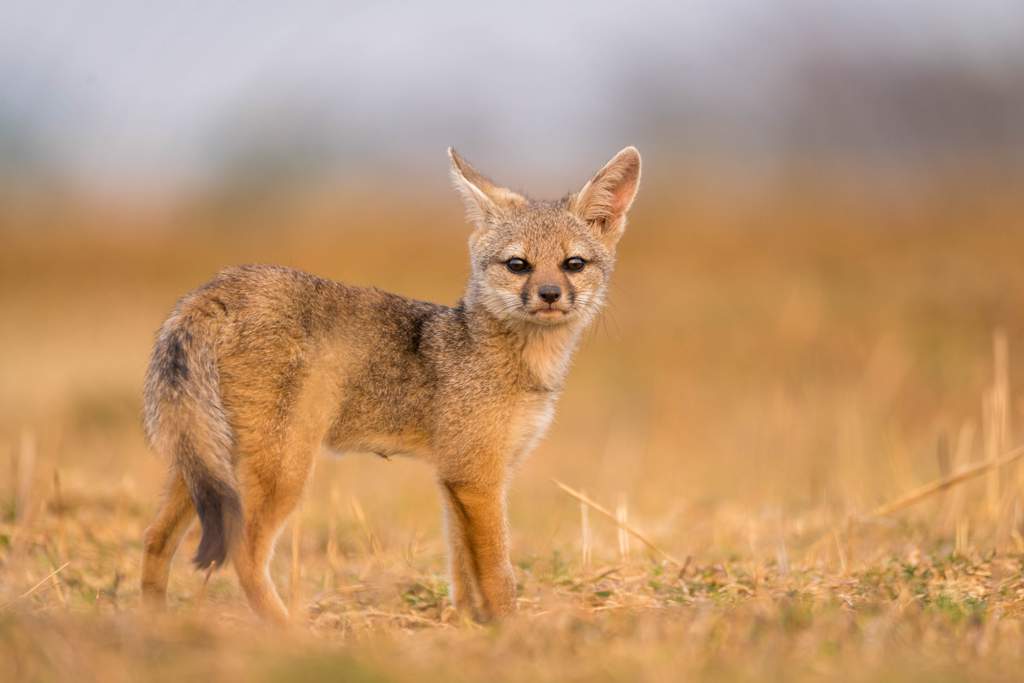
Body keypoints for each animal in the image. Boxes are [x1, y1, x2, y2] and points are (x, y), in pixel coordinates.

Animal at [141, 144, 643, 626]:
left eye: (573, 264)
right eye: (518, 264)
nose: (550, 294)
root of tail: (218, 288)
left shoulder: (456, 475)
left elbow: (463, 569)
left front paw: (470, 624)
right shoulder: (477, 478)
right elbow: (498, 573)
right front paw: (512, 629)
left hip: (208, 466)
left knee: (154, 539)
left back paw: (156, 623)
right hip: (281, 470)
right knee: (243, 553)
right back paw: (289, 630)